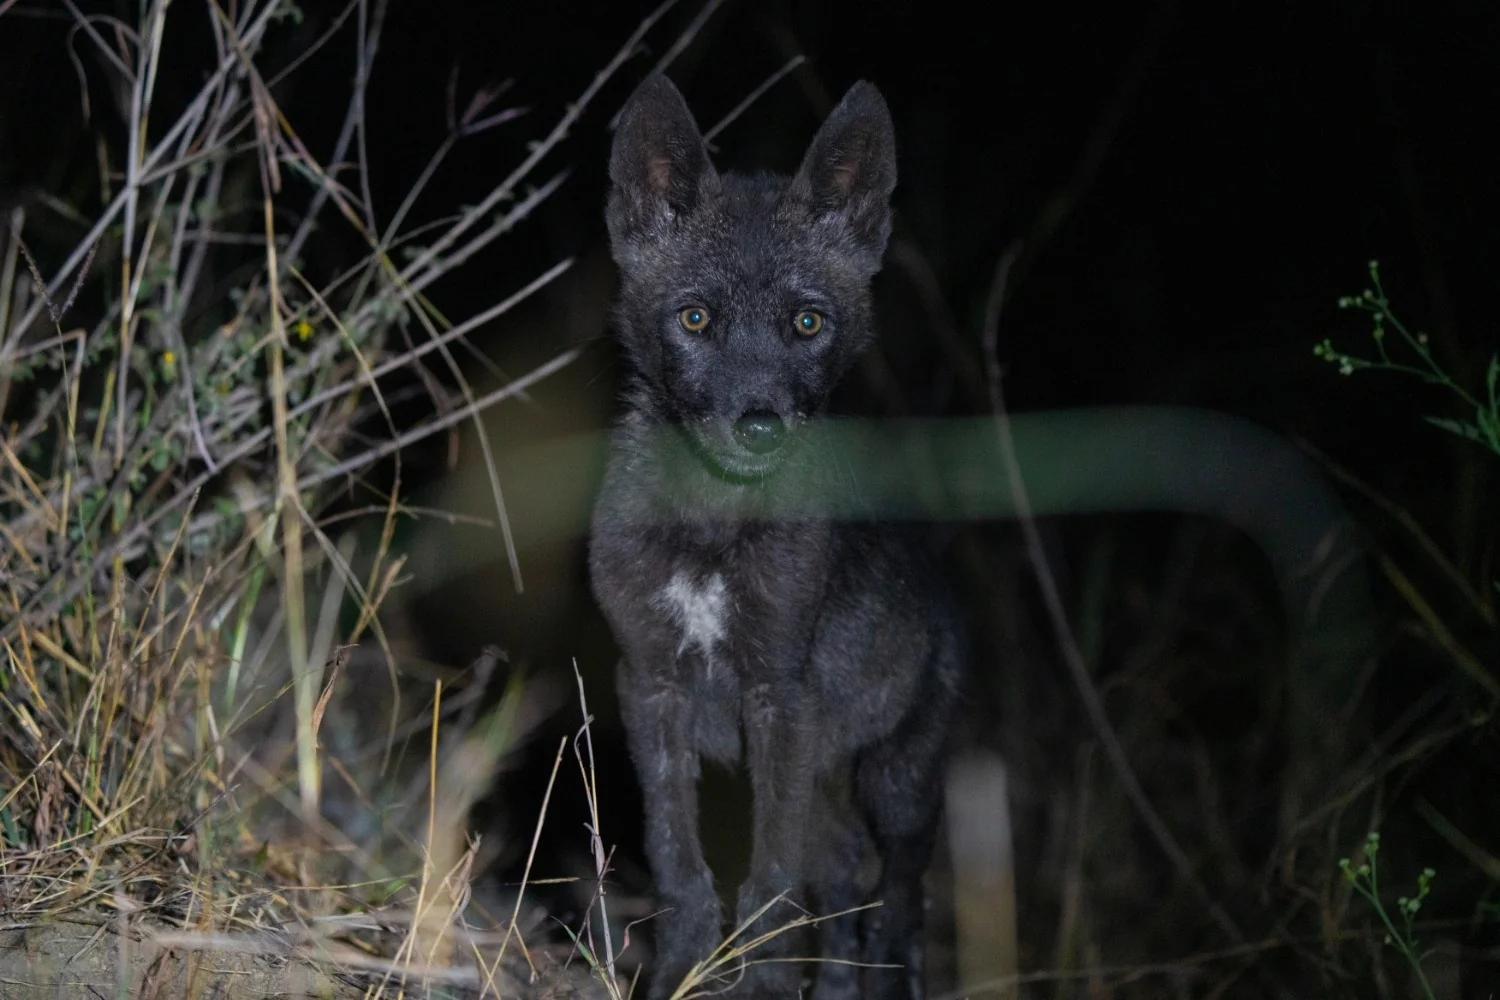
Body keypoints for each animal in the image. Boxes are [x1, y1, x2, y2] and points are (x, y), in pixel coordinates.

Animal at [588, 74, 964, 1000]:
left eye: (806, 324)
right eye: (694, 319)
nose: (758, 426)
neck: (710, 534)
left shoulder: (782, 697)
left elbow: (767, 885)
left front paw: (753, 985)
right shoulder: (649, 683)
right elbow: (682, 868)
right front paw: (679, 973)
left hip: (898, 782)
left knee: (899, 897)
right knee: (843, 874)